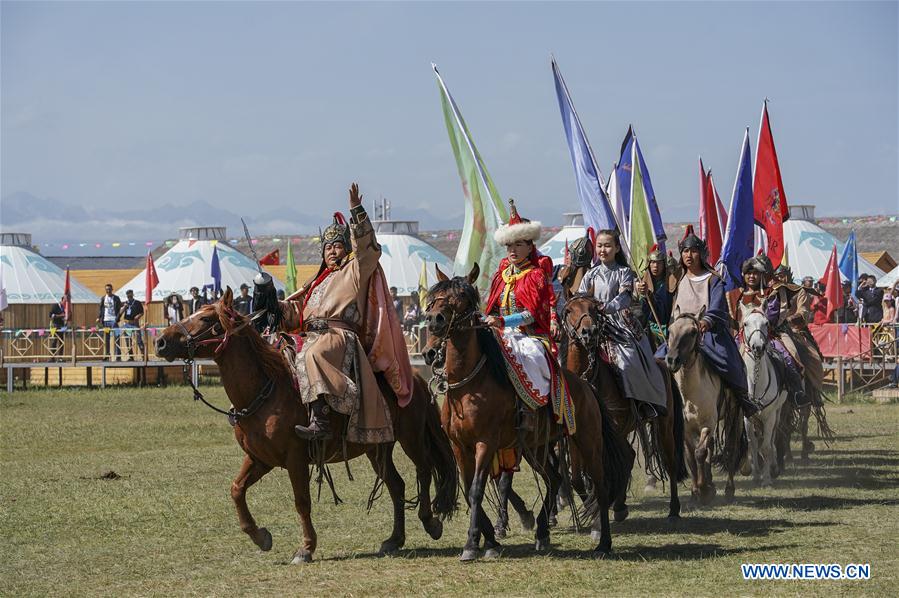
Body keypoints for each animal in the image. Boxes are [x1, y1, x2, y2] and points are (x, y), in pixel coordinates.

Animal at [154, 288, 458, 564]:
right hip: (377, 448)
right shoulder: (260, 458)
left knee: (424, 471)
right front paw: (261, 537)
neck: (266, 390)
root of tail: (414, 379)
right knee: (397, 485)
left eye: (206, 319)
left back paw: (430, 523)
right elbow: (236, 489)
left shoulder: (295, 458)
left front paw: (306, 548)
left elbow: (301, 501)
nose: (160, 342)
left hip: (411, 437)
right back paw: (394, 539)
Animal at [424, 268, 628, 564]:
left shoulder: (486, 443)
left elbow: (476, 490)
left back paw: (604, 542)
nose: (434, 319)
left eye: (460, 295)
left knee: (599, 486)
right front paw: (491, 539)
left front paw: (473, 543)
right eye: (435, 295)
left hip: (587, 441)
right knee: (554, 478)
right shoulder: (460, 446)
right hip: (536, 447)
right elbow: (470, 488)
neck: (467, 386)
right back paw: (542, 532)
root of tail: (585, 386)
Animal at [564, 296, 688, 524]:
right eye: (569, 310)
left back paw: (673, 509)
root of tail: (661, 364)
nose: (589, 332)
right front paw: (593, 507)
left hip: (664, 425)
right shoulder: (576, 436)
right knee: (628, 457)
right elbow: (577, 478)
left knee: (669, 462)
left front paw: (599, 507)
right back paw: (619, 506)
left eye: (593, 309)